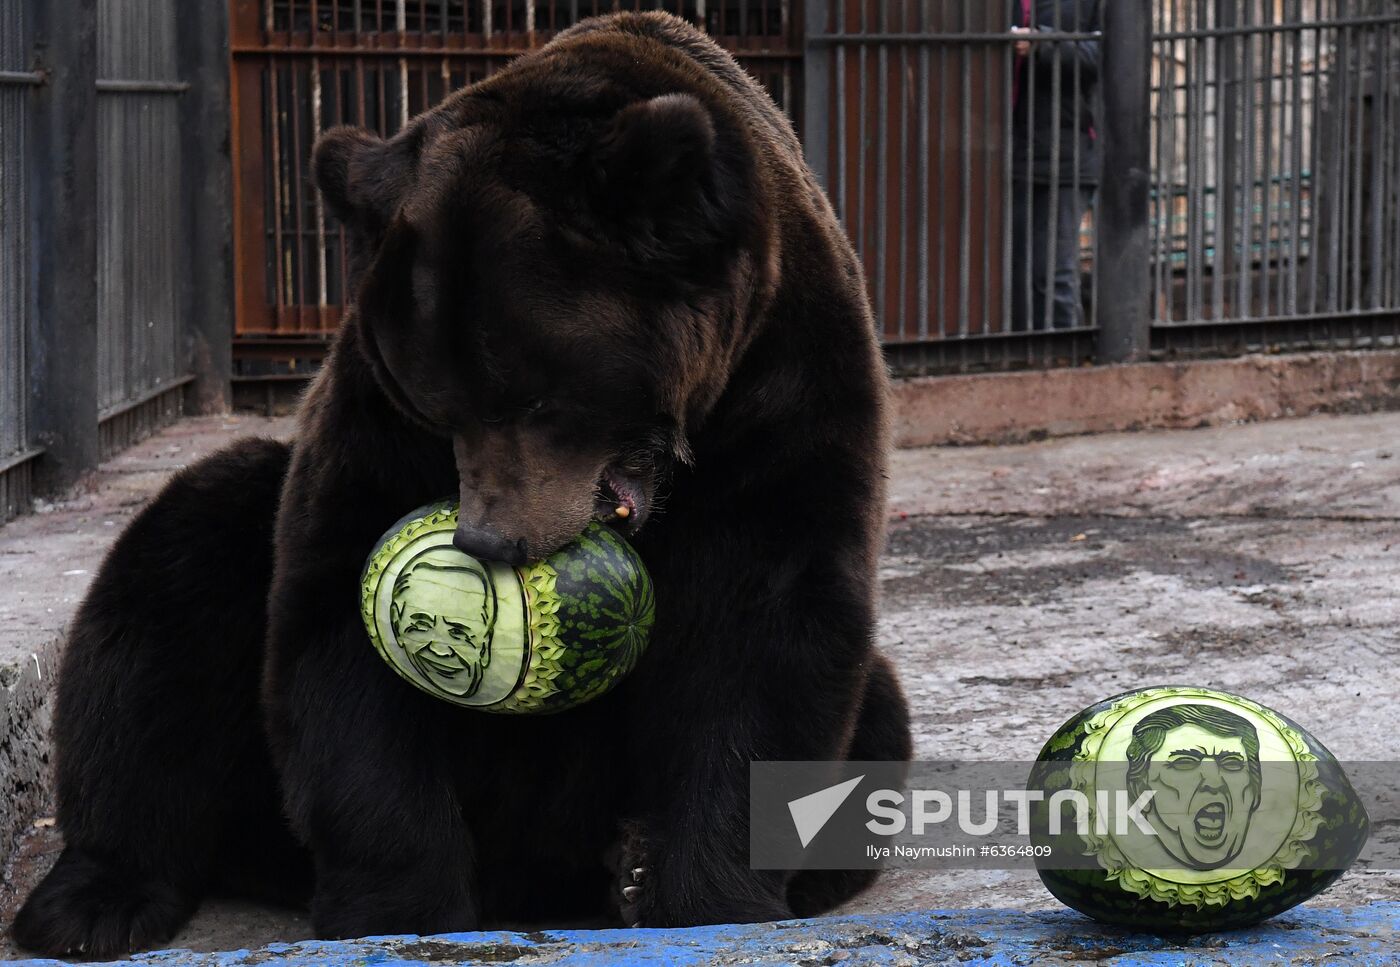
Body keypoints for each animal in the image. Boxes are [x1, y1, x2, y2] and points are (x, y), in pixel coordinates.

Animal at [16, 11, 912, 957]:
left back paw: (639, 867)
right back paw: (92, 898)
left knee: (877, 716)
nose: (489, 534)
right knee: (170, 589)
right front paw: (397, 909)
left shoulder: (785, 396)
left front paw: (701, 894)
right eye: (434, 404)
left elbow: (765, 636)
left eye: (537, 395)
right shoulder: (371, 424)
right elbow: (339, 633)